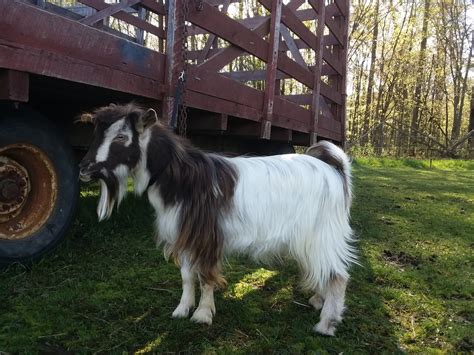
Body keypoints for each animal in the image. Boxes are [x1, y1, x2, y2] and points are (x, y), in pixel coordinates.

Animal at [78, 103, 356, 336]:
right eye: (95, 135)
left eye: (121, 137)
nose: (84, 168)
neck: (182, 178)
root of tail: (335, 170)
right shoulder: (184, 234)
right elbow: (187, 275)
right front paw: (182, 309)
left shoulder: (206, 236)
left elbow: (205, 277)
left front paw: (202, 314)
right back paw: (318, 301)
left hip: (323, 234)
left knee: (338, 276)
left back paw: (326, 324)